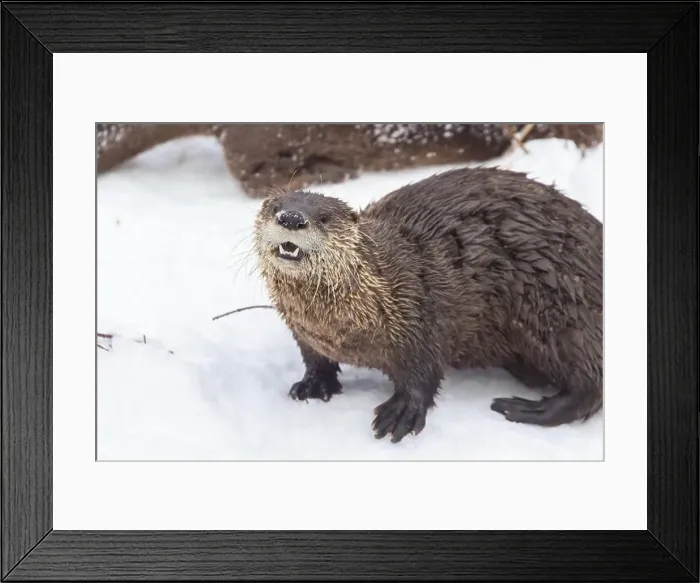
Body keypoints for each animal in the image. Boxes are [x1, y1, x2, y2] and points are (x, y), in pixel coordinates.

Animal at [253, 166, 602, 443]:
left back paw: (529, 407)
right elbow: (314, 358)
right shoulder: (303, 331)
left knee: (590, 381)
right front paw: (314, 384)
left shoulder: (419, 311)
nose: (292, 217)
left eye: (323, 218)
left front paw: (402, 412)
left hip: (565, 307)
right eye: (274, 207)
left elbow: (424, 369)